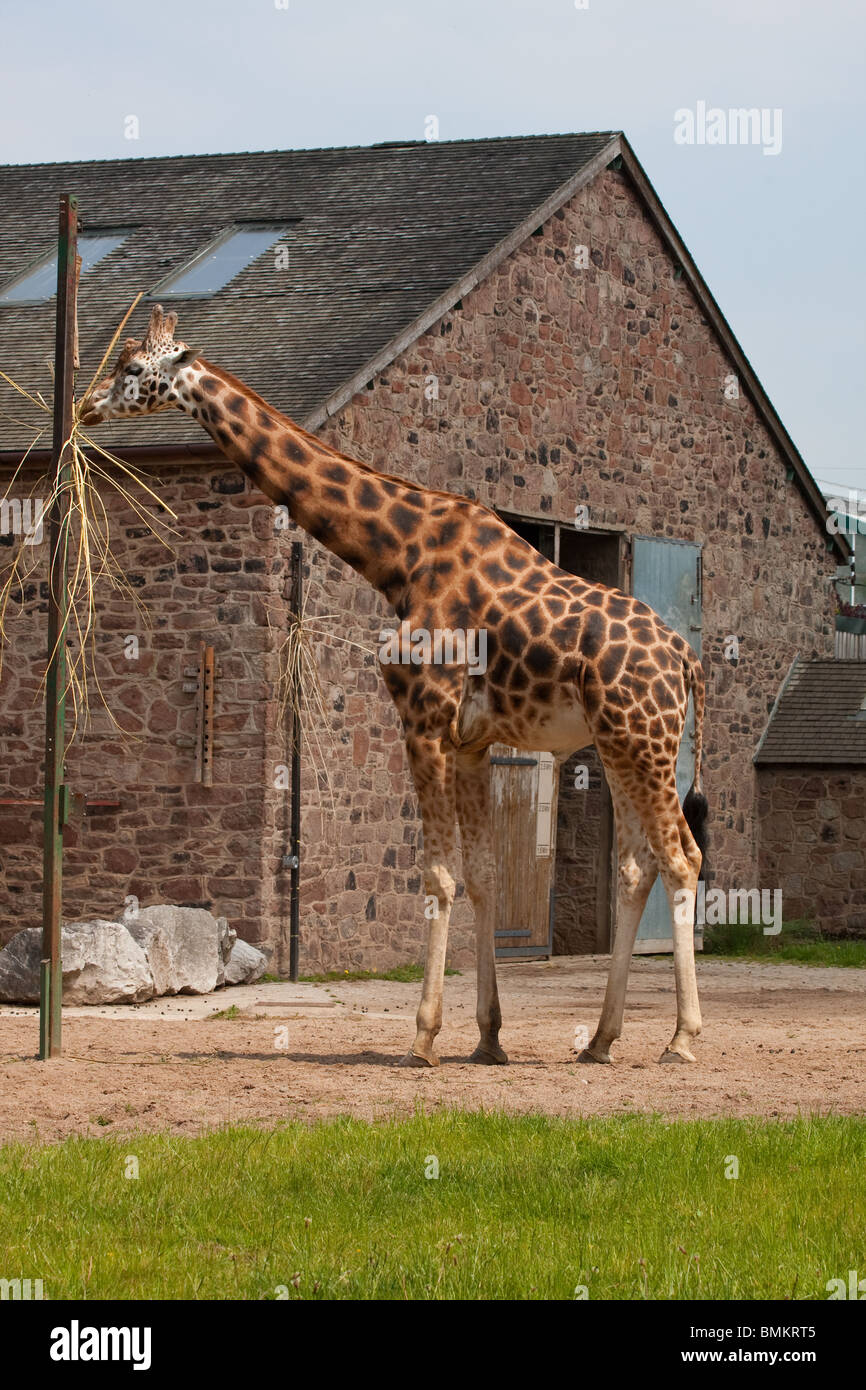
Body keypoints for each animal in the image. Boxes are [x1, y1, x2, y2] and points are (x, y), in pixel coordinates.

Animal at [81, 305, 709, 1066]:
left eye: (132, 368)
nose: (84, 408)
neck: (397, 556)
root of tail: (684, 658)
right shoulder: (471, 741)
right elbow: (482, 875)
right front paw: (488, 1039)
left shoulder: (424, 717)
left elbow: (436, 876)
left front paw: (424, 1038)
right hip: (620, 744)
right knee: (636, 865)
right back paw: (601, 1040)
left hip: (645, 739)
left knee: (682, 858)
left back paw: (681, 1039)